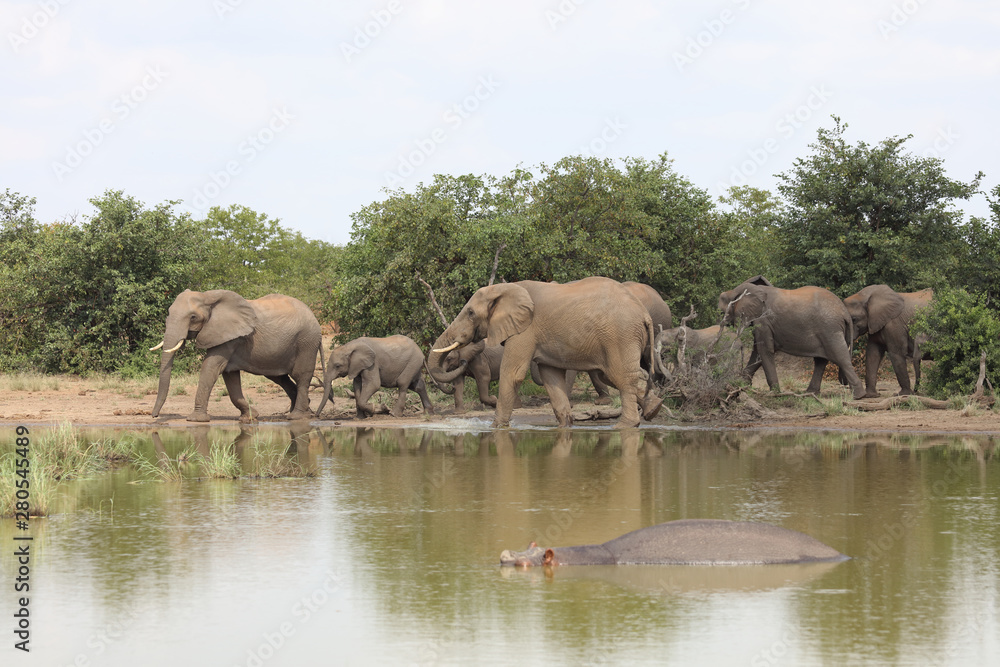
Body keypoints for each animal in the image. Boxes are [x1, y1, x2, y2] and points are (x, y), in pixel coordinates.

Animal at [150, 290, 321, 423]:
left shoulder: (229, 336)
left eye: (193, 317)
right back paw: (300, 411)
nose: (154, 416)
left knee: (301, 376)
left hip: (307, 341)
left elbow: (211, 367)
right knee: (280, 377)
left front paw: (196, 419)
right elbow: (229, 375)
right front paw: (250, 417)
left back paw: (297, 416)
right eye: (169, 313)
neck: (208, 297)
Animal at [427, 277, 663, 428]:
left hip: (619, 336)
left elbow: (513, 374)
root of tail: (644, 313)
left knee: (620, 375)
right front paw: (566, 425)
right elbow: (551, 377)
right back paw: (654, 409)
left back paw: (625, 426)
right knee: (617, 375)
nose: (462, 360)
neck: (506, 288)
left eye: (470, 312)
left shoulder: (526, 329)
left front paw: (496, 427)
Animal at [718, 276, 866, 399]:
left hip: (830, 329)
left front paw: (775, 393)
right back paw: (811, 393)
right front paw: (741, 384)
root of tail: (845, 312)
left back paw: (858, 396)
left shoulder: (763, 321)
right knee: (821, 361)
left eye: (723, 310)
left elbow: (764, 350)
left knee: (840, 357)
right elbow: (758, 352)